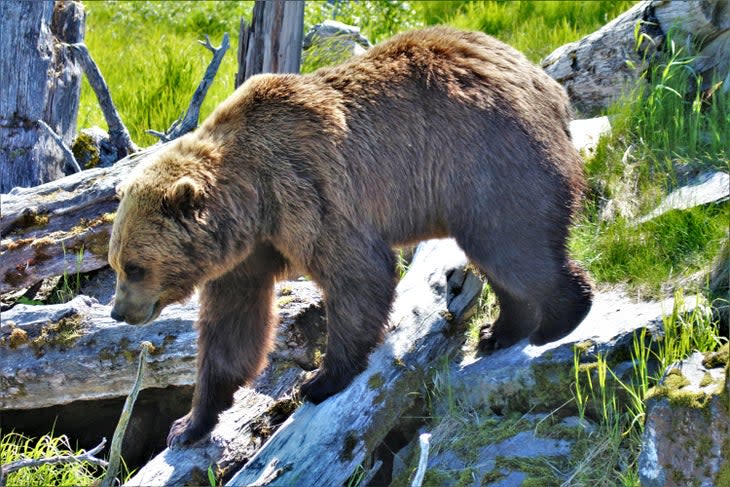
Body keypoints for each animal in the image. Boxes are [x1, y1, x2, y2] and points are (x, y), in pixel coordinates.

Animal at [106, 25, 592, 446]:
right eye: (116, 264)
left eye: (135, 267)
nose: (118, 311)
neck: (252, 200)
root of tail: (546, 83)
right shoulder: (246, 252)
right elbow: (232, 326)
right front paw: (189, 424)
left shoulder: (306, 190)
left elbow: (357, 275)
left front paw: (320, 380)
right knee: (501, 258)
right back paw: (501, 331)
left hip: (487, 159)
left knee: (513, 244)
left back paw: (559, 317)